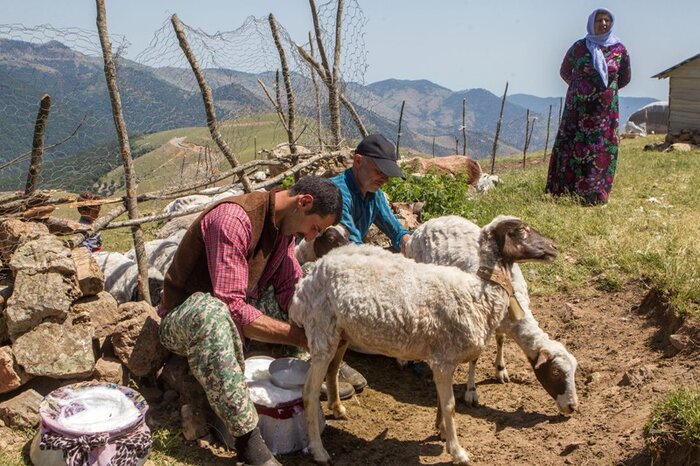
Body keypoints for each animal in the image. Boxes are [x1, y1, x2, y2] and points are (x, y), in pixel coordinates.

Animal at [290, 216, 556, 466]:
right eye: (521, 231)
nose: (554, 247)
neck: (478, 291)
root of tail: (306, 282)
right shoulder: (443, 360)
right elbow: (449, 405)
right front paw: (458, 451)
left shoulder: (443, 359)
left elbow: (441, 401)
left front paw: (442, 432)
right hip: (321, 333)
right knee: (309, 392)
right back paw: (319, 451)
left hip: (340, 334)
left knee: (333, 370)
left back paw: (338, 409)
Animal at [404, 215, 580, 408]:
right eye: (555, 372)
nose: (572, 407)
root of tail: (430, 222)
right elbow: (474, 358)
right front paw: (471, 391)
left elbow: (501, 340)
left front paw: (500, 369)